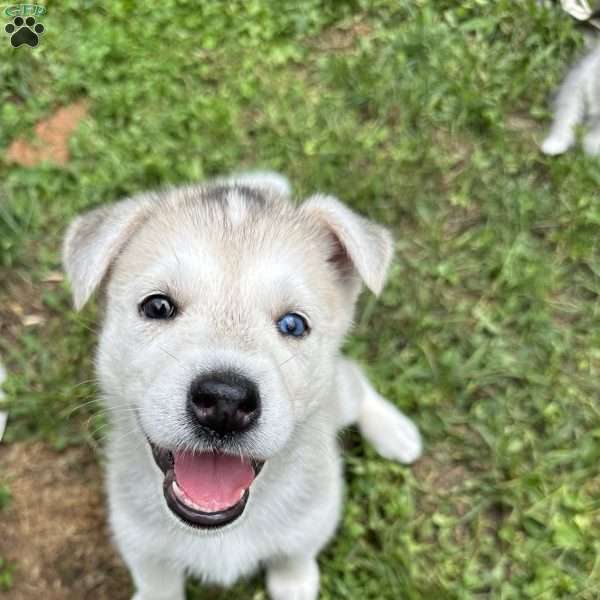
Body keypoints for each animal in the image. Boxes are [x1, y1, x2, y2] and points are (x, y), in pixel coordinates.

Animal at [62, 173, 422, 600]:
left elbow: (295, 555)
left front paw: (295, 582)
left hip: (339, 394)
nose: (225, 402)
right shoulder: (141, 545)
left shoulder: (316, 513)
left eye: (293, 324)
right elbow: (158, 585)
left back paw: (396, 433)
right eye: (157, 306)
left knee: (358, 382)